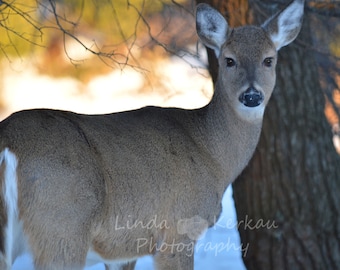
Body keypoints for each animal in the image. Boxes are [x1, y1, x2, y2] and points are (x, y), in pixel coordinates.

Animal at [0, 1, 302, 268]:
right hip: (63, 226)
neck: (212, 154)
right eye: (229, 60)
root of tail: (8, 144)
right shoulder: (178, 229)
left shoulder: (123, 249)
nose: (251, 96)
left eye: (268, 60)